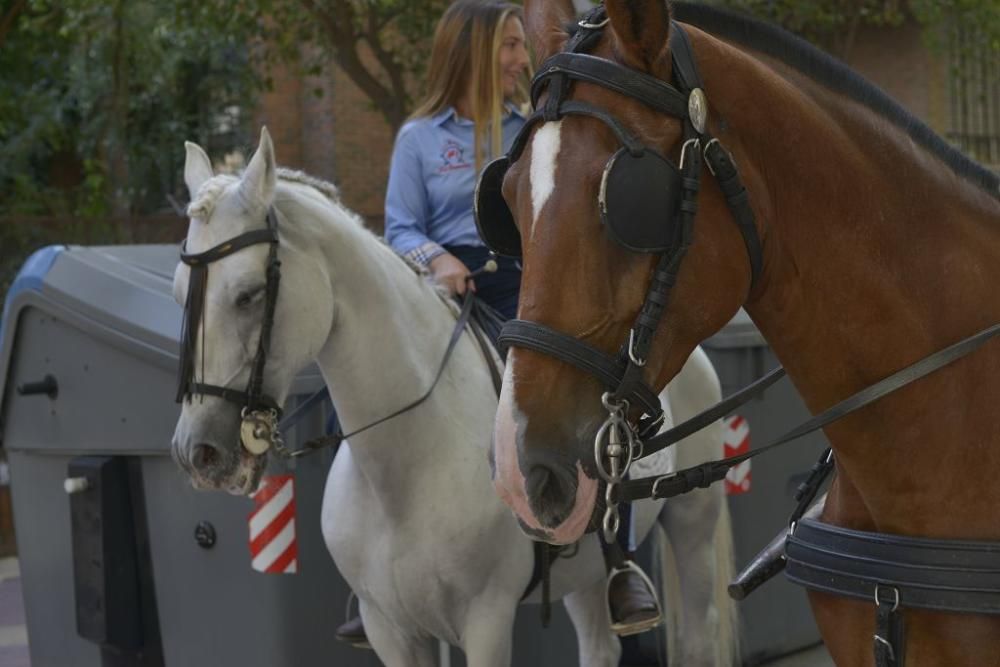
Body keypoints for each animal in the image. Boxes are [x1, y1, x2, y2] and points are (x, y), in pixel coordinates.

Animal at [170, 129, 736, 667]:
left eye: (248, 294)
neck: (408, 469)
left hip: (692, 524)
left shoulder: (486, 622)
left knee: (701, 635)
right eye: (178, 293)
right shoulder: (389, 630)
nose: (199, 453)